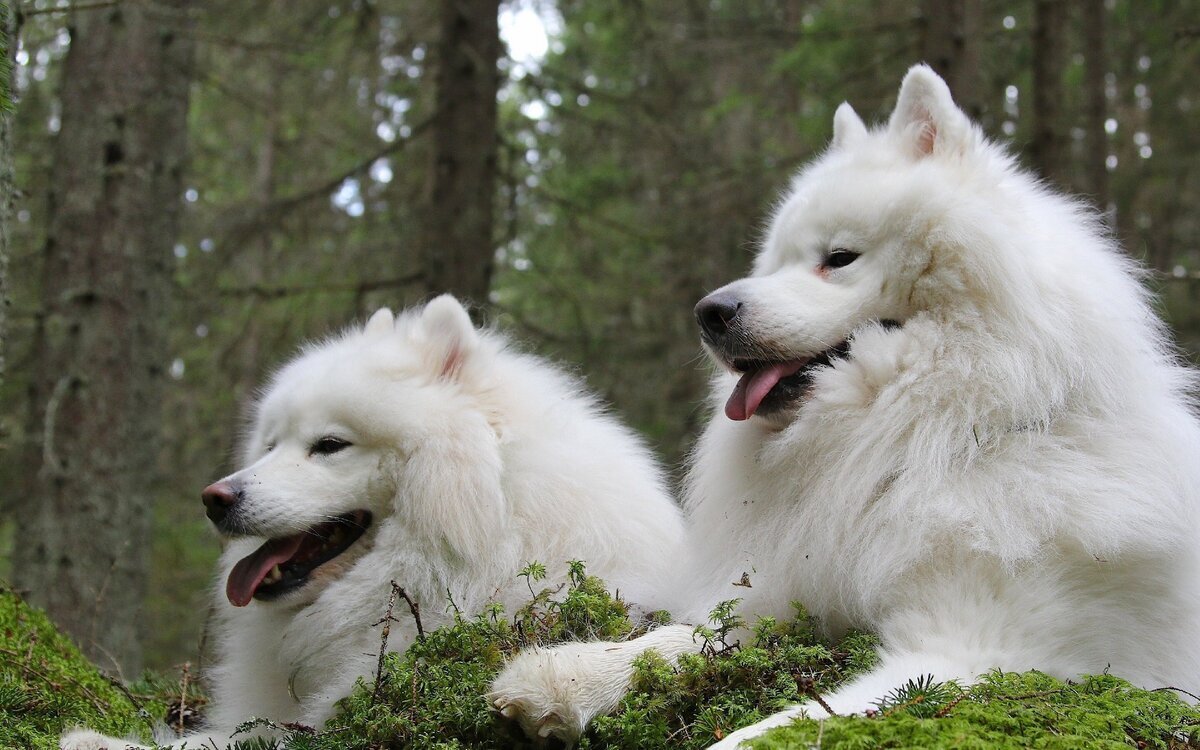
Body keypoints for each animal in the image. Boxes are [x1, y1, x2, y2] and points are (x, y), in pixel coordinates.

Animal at [487, 64, 1200, 744]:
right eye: (775, 262)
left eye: (839, 257)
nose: (709, 313)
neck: (926, 439)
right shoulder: (787, 591)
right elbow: (676, 643)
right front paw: (570, 674)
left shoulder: (974, 653)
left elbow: (782, 727)